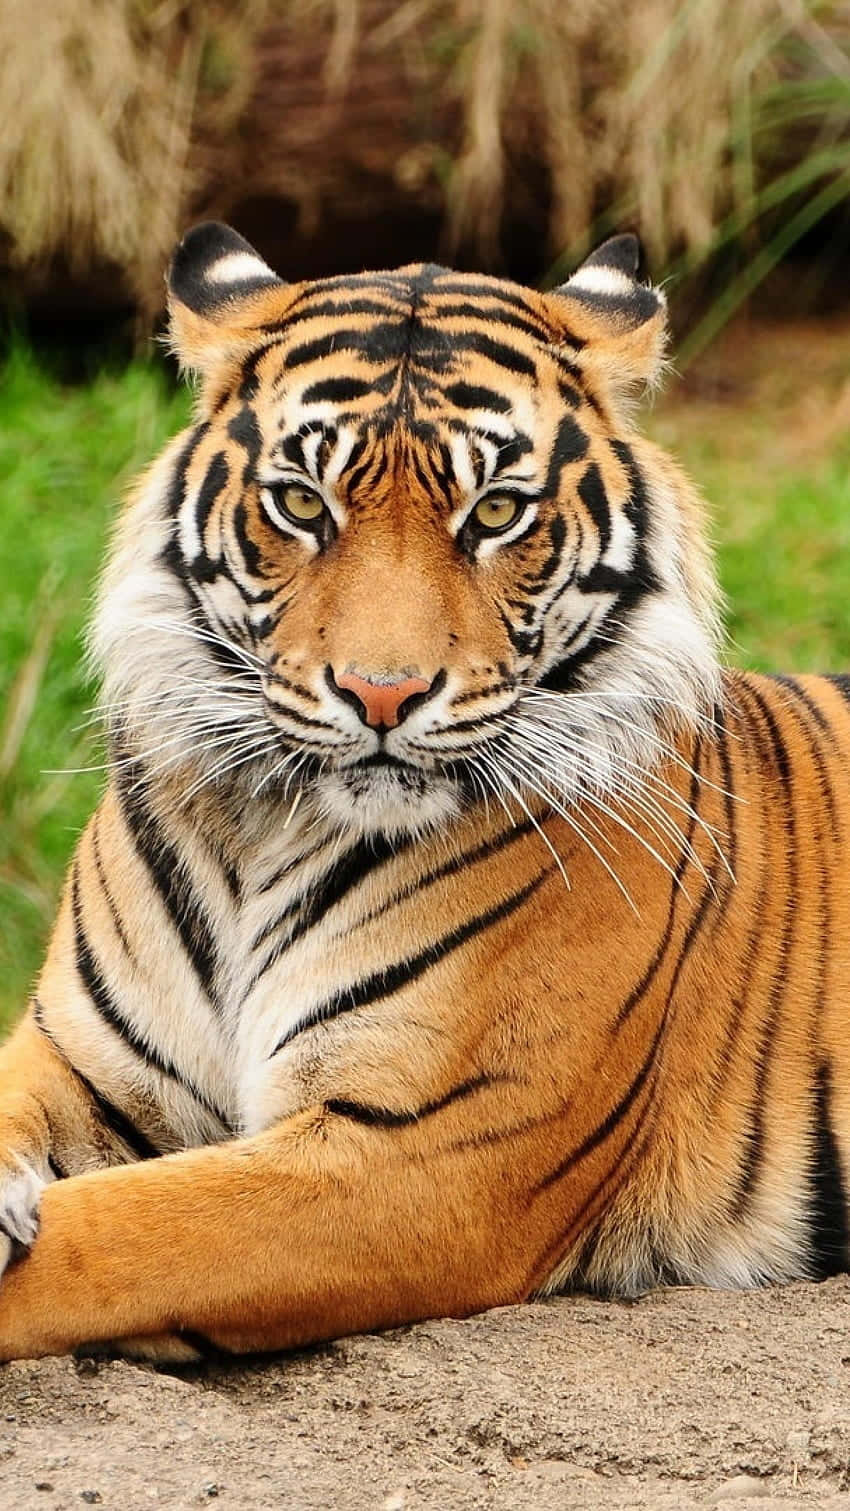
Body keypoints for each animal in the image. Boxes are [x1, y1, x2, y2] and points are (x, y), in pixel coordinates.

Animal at [0, 220, 848, 1365]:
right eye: (301, 503)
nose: (381, 693)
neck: (266, 829)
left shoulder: (420, 1150)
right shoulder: (75, 1057)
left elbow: (115, 1233)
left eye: (495, 512)